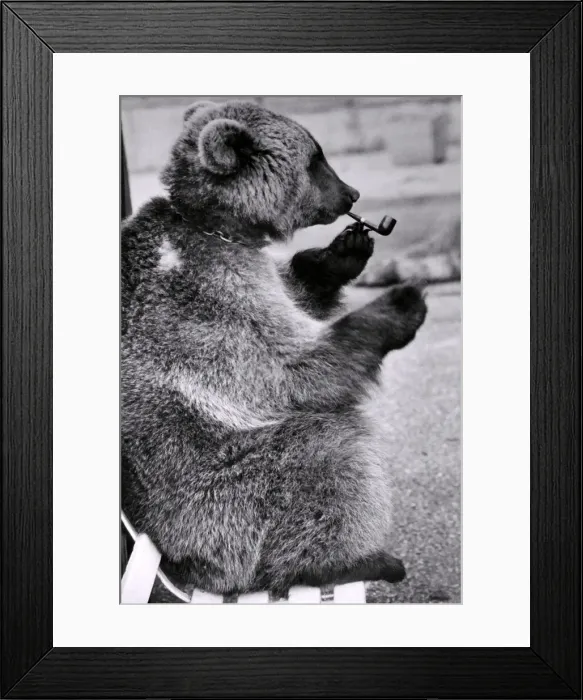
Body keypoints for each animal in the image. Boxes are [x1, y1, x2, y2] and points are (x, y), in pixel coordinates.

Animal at [121, 100, 427, 596]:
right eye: (316, 160)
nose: (353, 193)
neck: (220, 228)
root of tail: (183, 566)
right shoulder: (208, 296)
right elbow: (291, 370)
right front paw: (400, 303)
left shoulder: (256, 273)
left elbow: (298, 290)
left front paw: (343, 251)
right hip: (224, 497)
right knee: (330, 457)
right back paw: (354, 561)